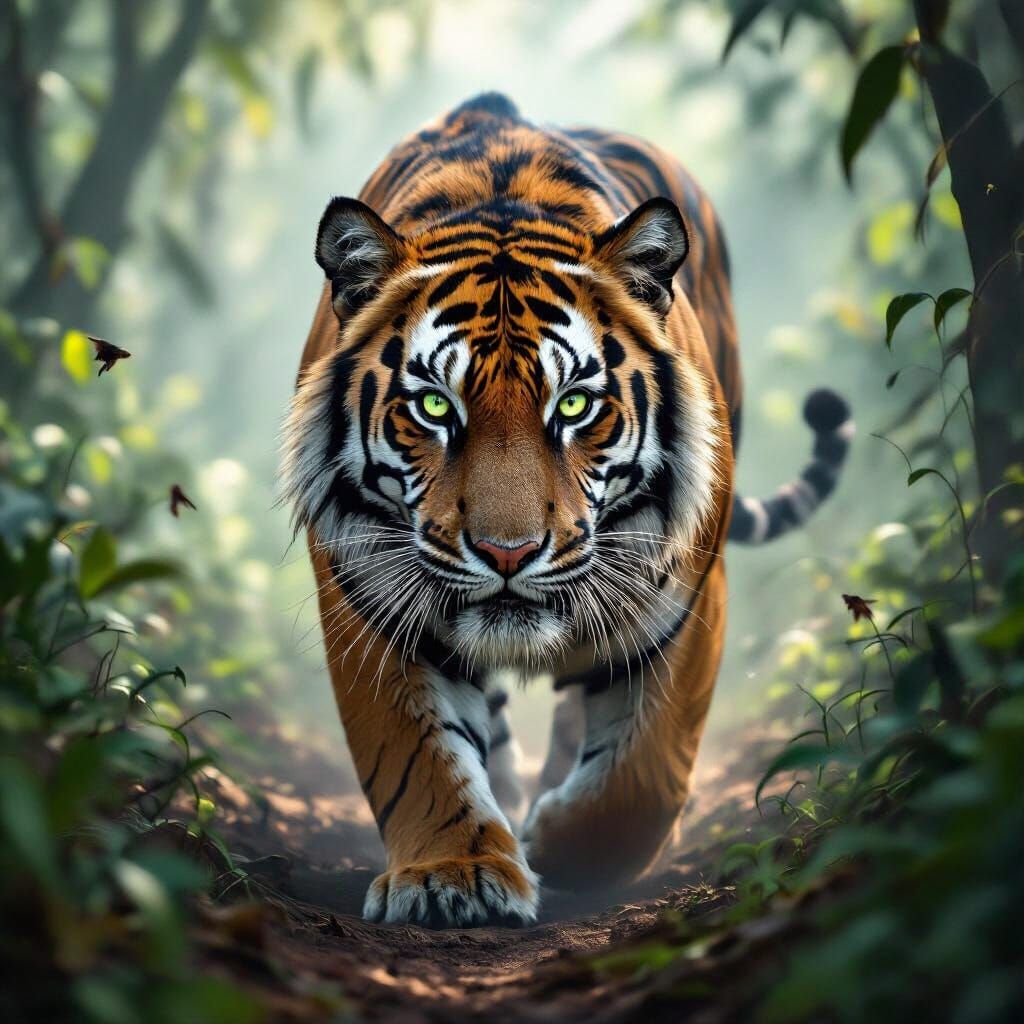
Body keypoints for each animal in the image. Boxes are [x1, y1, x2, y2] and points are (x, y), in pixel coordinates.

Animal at [281, 93, 851, 928]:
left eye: (575, 405)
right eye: (433, 406)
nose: (508, 553)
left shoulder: (685, 595)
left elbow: (642, 778)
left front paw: (557, 842)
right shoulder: (366, 591)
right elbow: (415, 754)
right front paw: (453, 873)